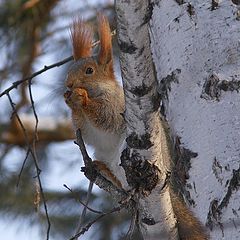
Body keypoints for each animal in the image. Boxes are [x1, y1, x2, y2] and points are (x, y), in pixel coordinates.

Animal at [63, 13, 208, 240]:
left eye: (89, 71)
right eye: (70, 70)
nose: (68, 84)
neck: (100, 90)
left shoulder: (116, 106)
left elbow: (105, 119)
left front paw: (81, 98)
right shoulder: (84, 128)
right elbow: (84, 131)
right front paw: (70, 101)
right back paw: (101, 168)